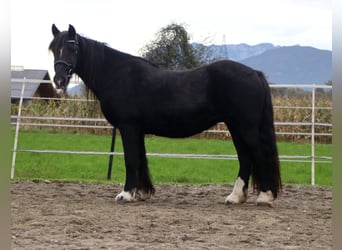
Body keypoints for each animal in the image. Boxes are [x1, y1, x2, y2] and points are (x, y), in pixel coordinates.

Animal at [49, 24, 282, 206]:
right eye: (53, 50)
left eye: (72, 47)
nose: (59, 80)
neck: (117, 75)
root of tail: (255, 73)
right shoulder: (137, 130)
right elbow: (140, 159)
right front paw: (142, 193)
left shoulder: (128, 127)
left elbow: (131, 159)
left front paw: (126, 194)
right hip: (235, 126)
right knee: (245, 157)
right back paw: (235, 197)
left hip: (245, 127)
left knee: (259, 154)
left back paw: (264, 196)